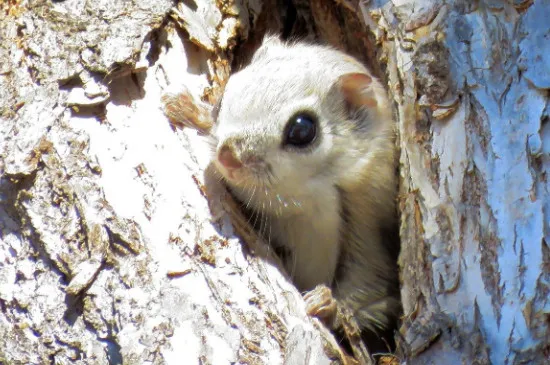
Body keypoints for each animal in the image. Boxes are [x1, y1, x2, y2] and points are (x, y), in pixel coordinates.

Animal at [163, 36, 402, 352]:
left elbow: (366, 286)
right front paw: (188, 108)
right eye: (225, 93)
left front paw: (328, 305)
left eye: (302, 130)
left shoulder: (369, 218)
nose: (228, 157)